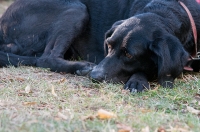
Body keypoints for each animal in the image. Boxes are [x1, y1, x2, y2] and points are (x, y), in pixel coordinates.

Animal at [0, 0, 199, 92]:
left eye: (129, 55)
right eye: (108, 45)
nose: (95, 76)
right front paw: (137, 80)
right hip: (77, 9)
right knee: (46, 58)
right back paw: (82, 66)